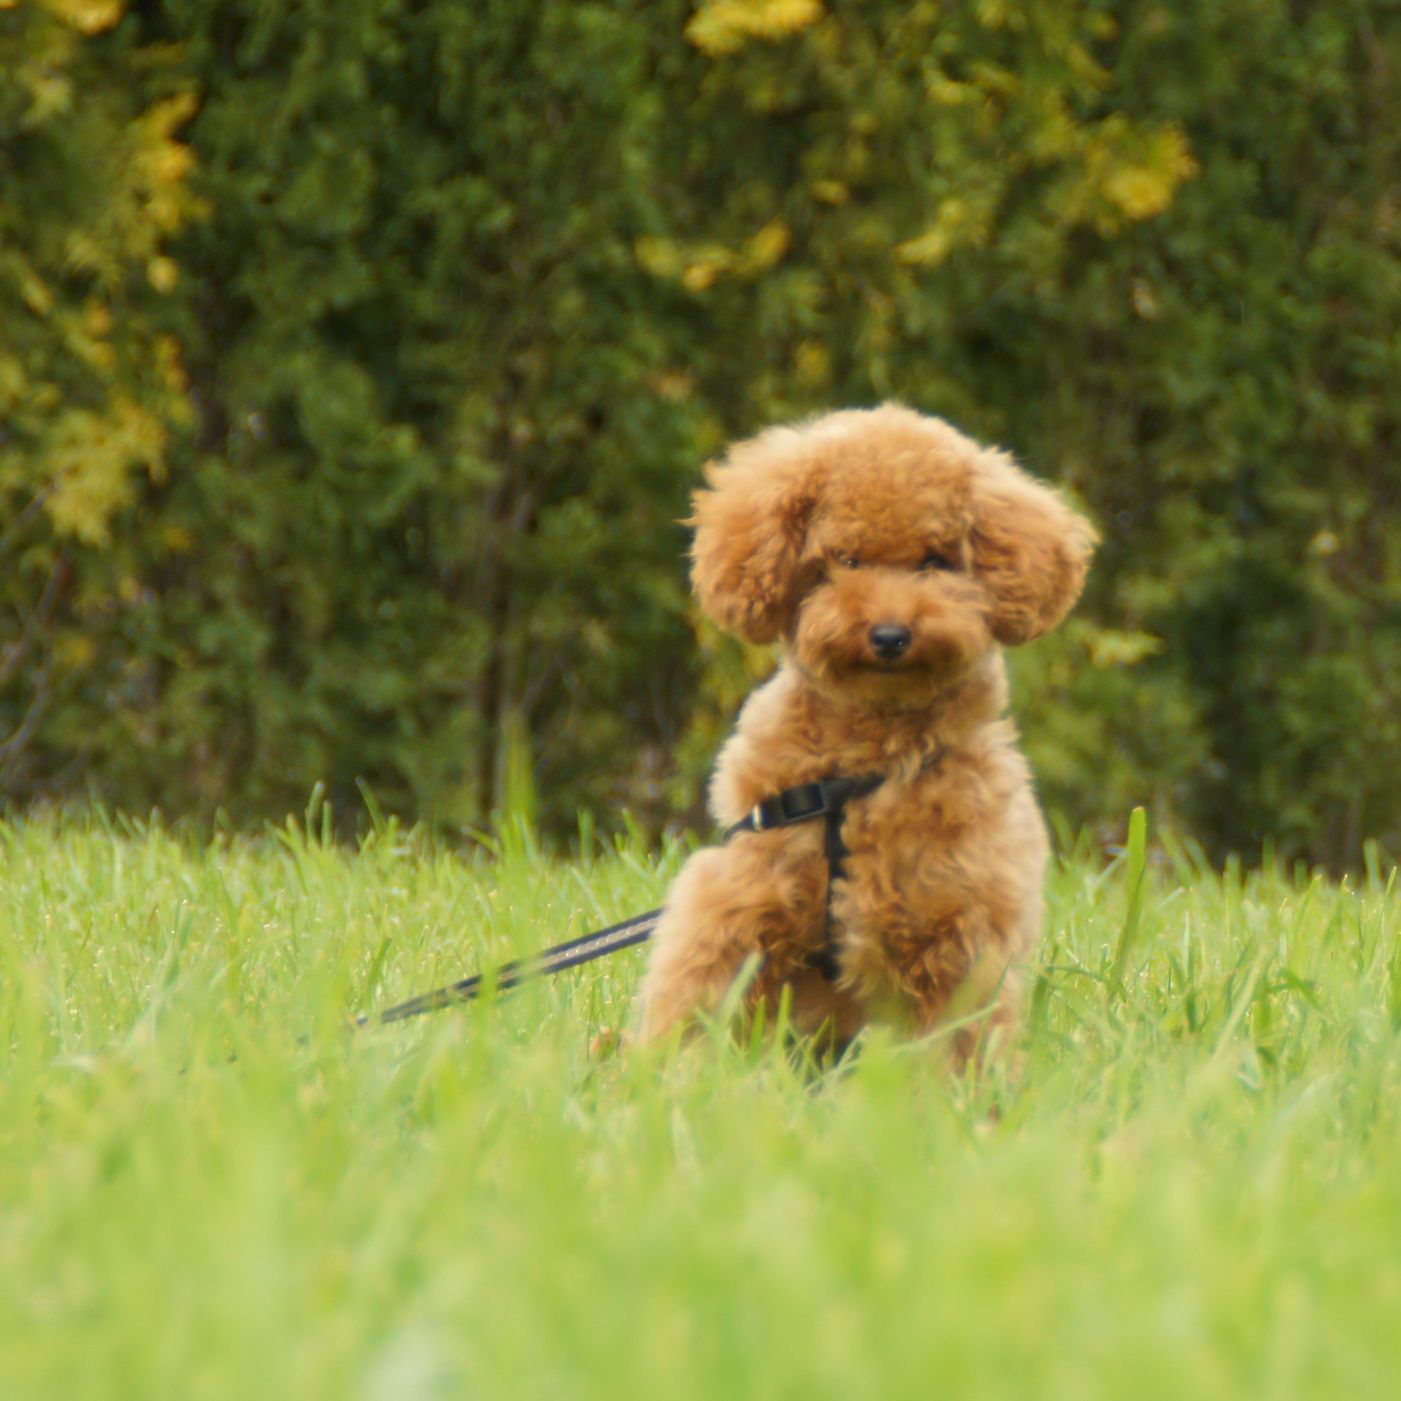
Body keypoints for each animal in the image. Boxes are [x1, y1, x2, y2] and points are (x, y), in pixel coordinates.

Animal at [636, 406, 1092, 1059]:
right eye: (846, 559)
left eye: (934, 561)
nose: (890, 635)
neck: (865, 765)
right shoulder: (740, 893)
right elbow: (697, 994)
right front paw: (668, 1071)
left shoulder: (961, 923)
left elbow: (960, 1038)